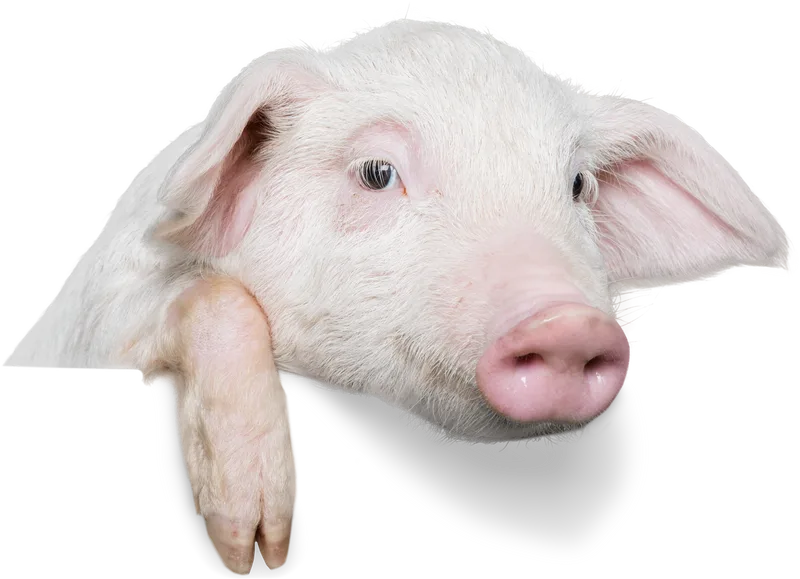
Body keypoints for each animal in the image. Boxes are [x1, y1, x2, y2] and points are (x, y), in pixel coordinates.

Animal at [2, 11, 794, 575]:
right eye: (377, 172)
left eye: (577, 186)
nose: (569, 321)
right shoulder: (98, 321)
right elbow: (216, 298)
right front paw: (255, 547)